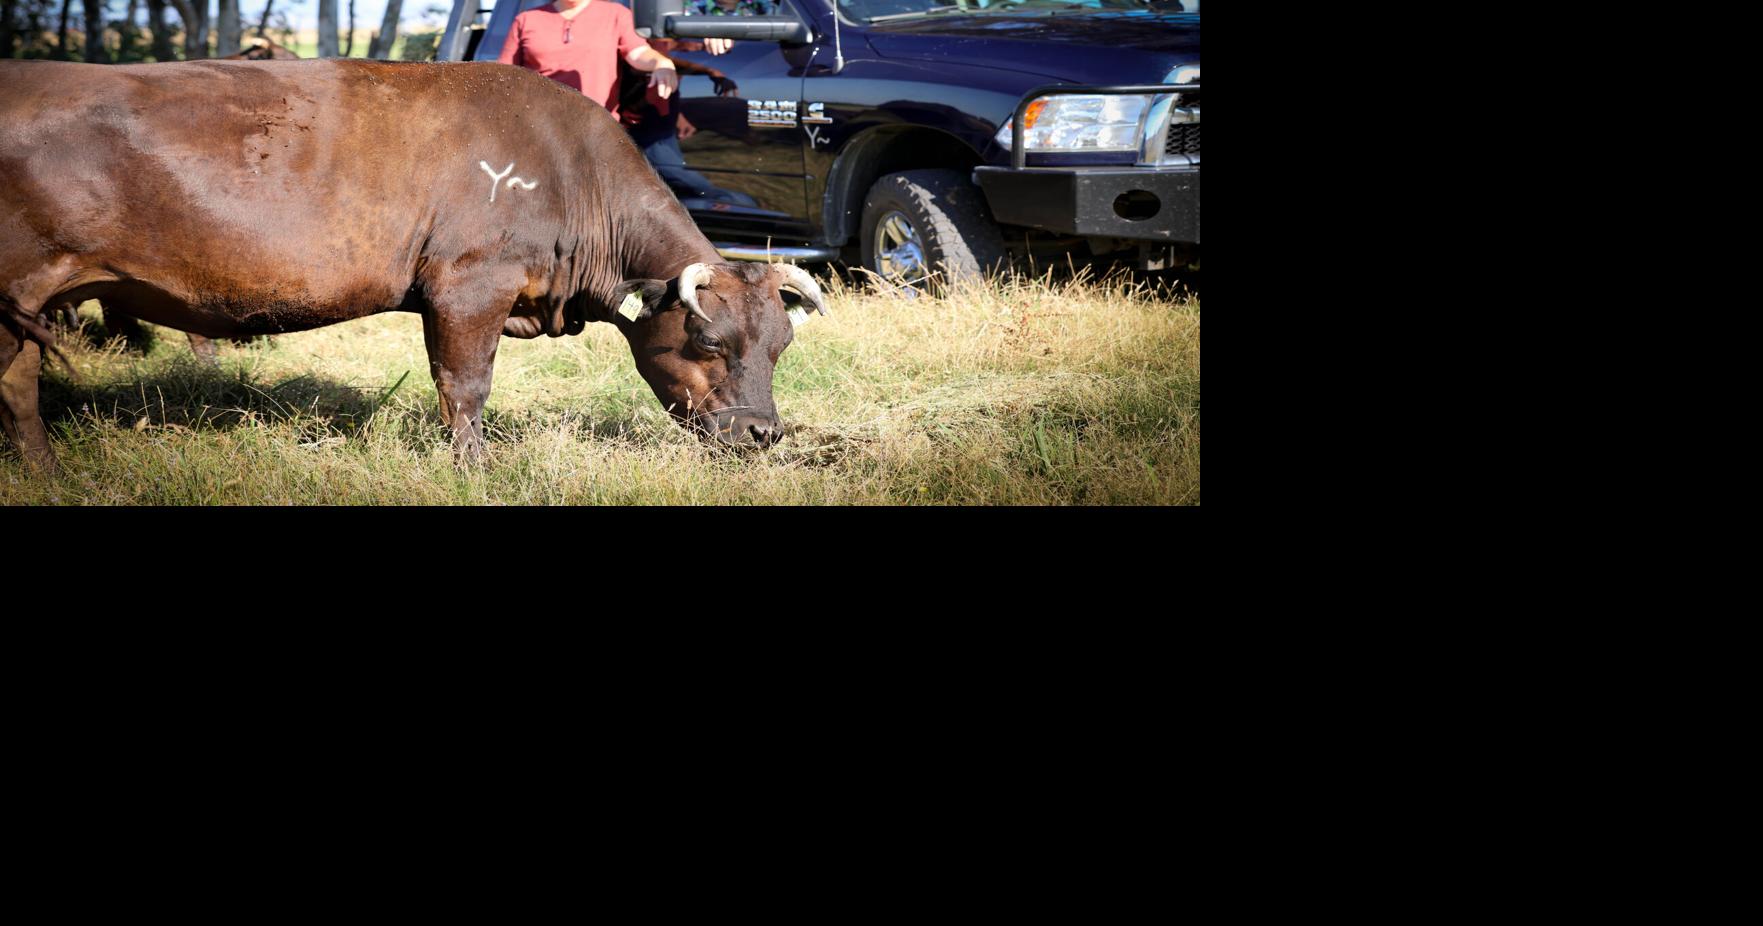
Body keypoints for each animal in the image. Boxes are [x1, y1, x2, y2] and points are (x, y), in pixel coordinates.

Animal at [0, 58, 827, 472]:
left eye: (782, 347)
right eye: (708, 341)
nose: (764, 435)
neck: (566, 171)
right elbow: (465, 387)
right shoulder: (469, 286)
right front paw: (474, 471)